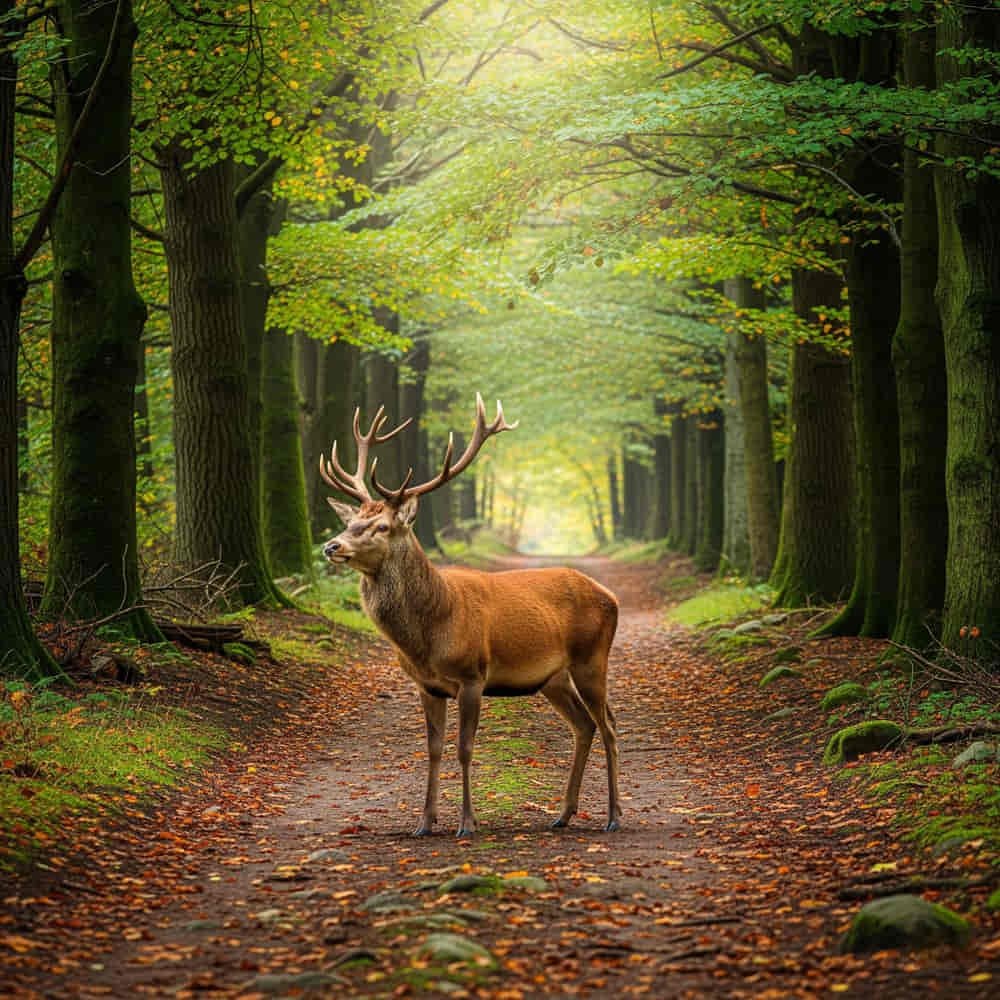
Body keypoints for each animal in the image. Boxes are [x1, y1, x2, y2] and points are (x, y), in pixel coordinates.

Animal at [320, 394, 621, 837]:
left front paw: (467, 822)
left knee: (609, 725)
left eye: (382, 526)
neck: (428, 635)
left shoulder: (472, 675)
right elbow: (433, 750)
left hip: (591, 658)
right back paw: (563, 814)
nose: (332, 546)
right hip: (554, 678)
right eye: (352, 520)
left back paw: (614, 816)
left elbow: (464, 748)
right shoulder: (427, 686)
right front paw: (424, 823)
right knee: (583, 725)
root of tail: (610, 596)